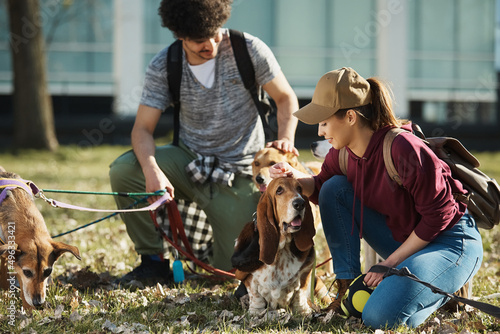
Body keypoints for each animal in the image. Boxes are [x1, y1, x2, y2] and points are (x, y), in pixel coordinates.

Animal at [231, 179, 330, 314]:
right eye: (279, 190)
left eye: (299, 189)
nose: (300, 203)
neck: (282, 248)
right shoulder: (246, 278)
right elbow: (255, 295)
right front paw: (256, 312)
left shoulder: (306, 273)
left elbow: (300, 292)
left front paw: (303, 312)